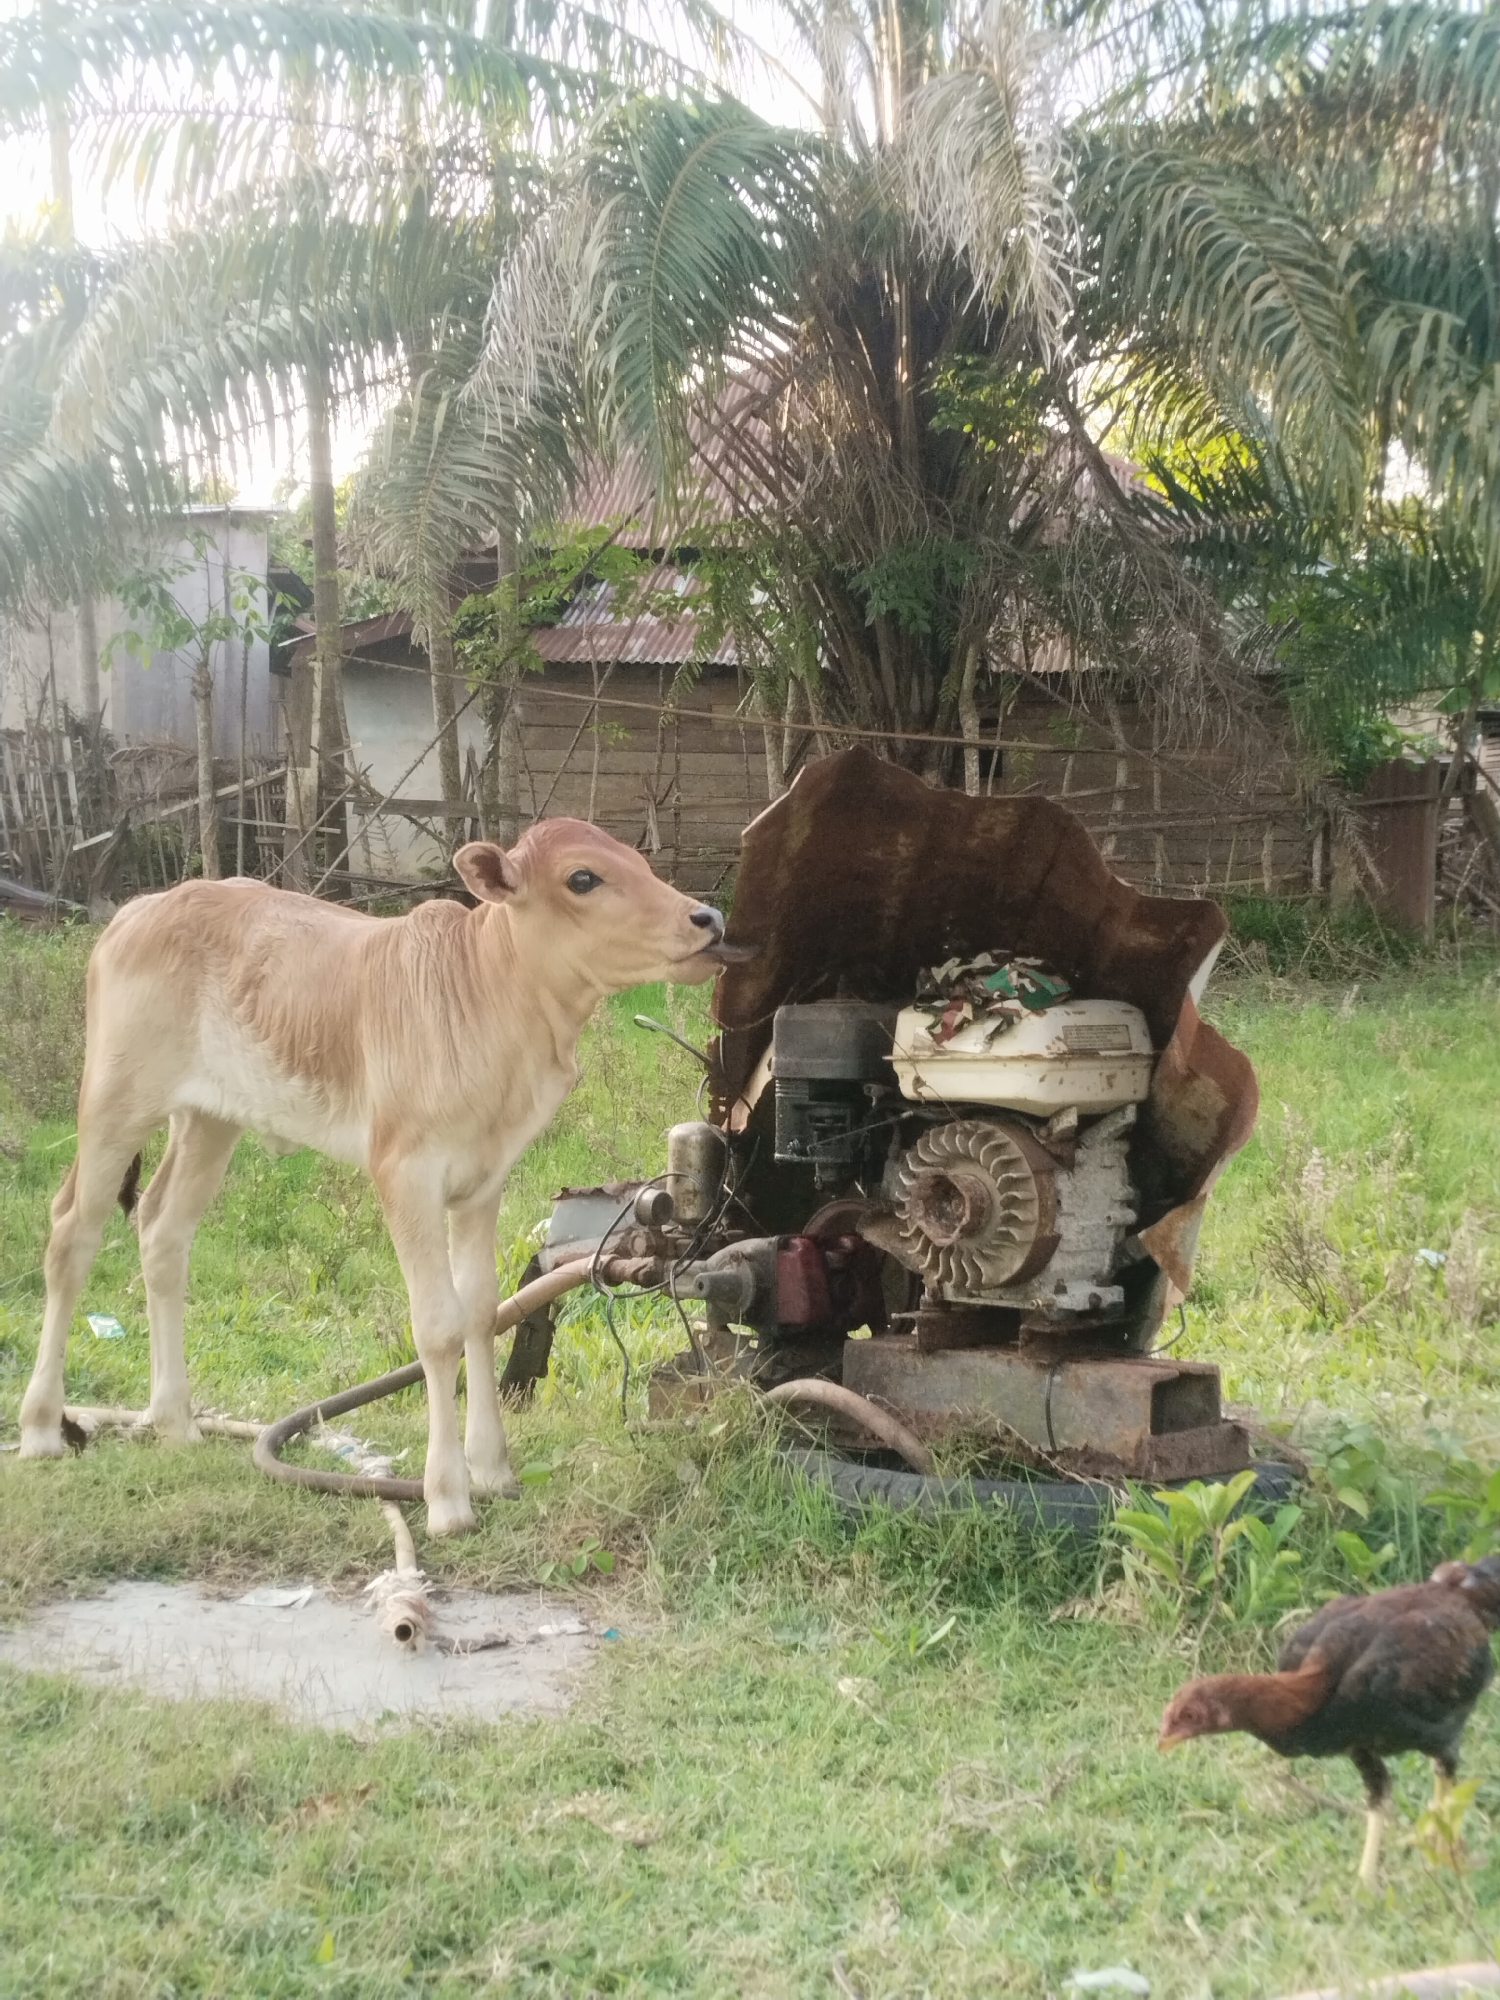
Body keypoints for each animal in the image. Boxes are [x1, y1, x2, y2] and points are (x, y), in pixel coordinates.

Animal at [17, 821, 733, 1535]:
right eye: (582, 877)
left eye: (637, 861)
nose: (709, 918)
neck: (497, 1003)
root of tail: (139, 910)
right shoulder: (405, 1173)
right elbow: (438, 1327)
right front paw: (447, 1497)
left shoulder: (484, 1179)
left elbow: (481, 1311)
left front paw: (493, 1470)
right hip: (116, 1098)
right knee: (71, 1234)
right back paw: (43, 1427)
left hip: (209, 1119)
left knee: (162, 1229)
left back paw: (175, 1422)